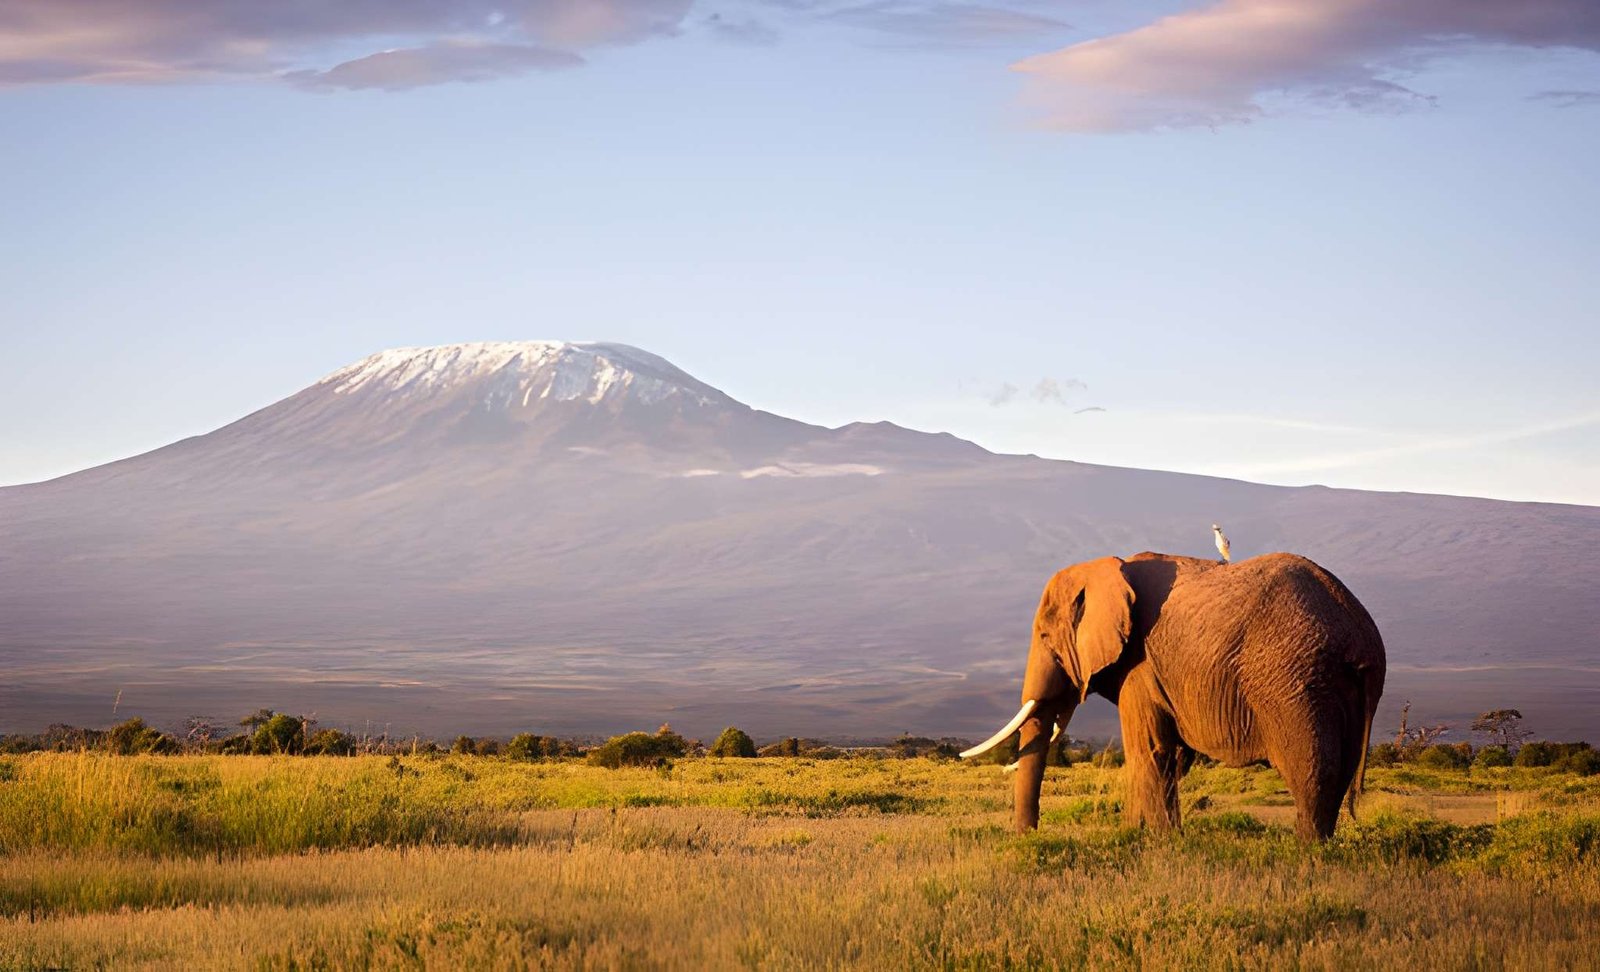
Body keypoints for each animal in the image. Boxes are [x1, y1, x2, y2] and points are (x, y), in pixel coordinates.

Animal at [961, 551, 1385, 841]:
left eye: (1045, 636)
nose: (1028, 836)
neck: (1105, 566)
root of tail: (1359, 634)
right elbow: (1169, 758)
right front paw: (1133, 834)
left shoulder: (1140, 666)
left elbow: (1150, 752)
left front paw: (1159, 842)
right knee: (1342, 769)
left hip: (1293, 682)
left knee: (1312, 768)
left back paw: (1304, 850)